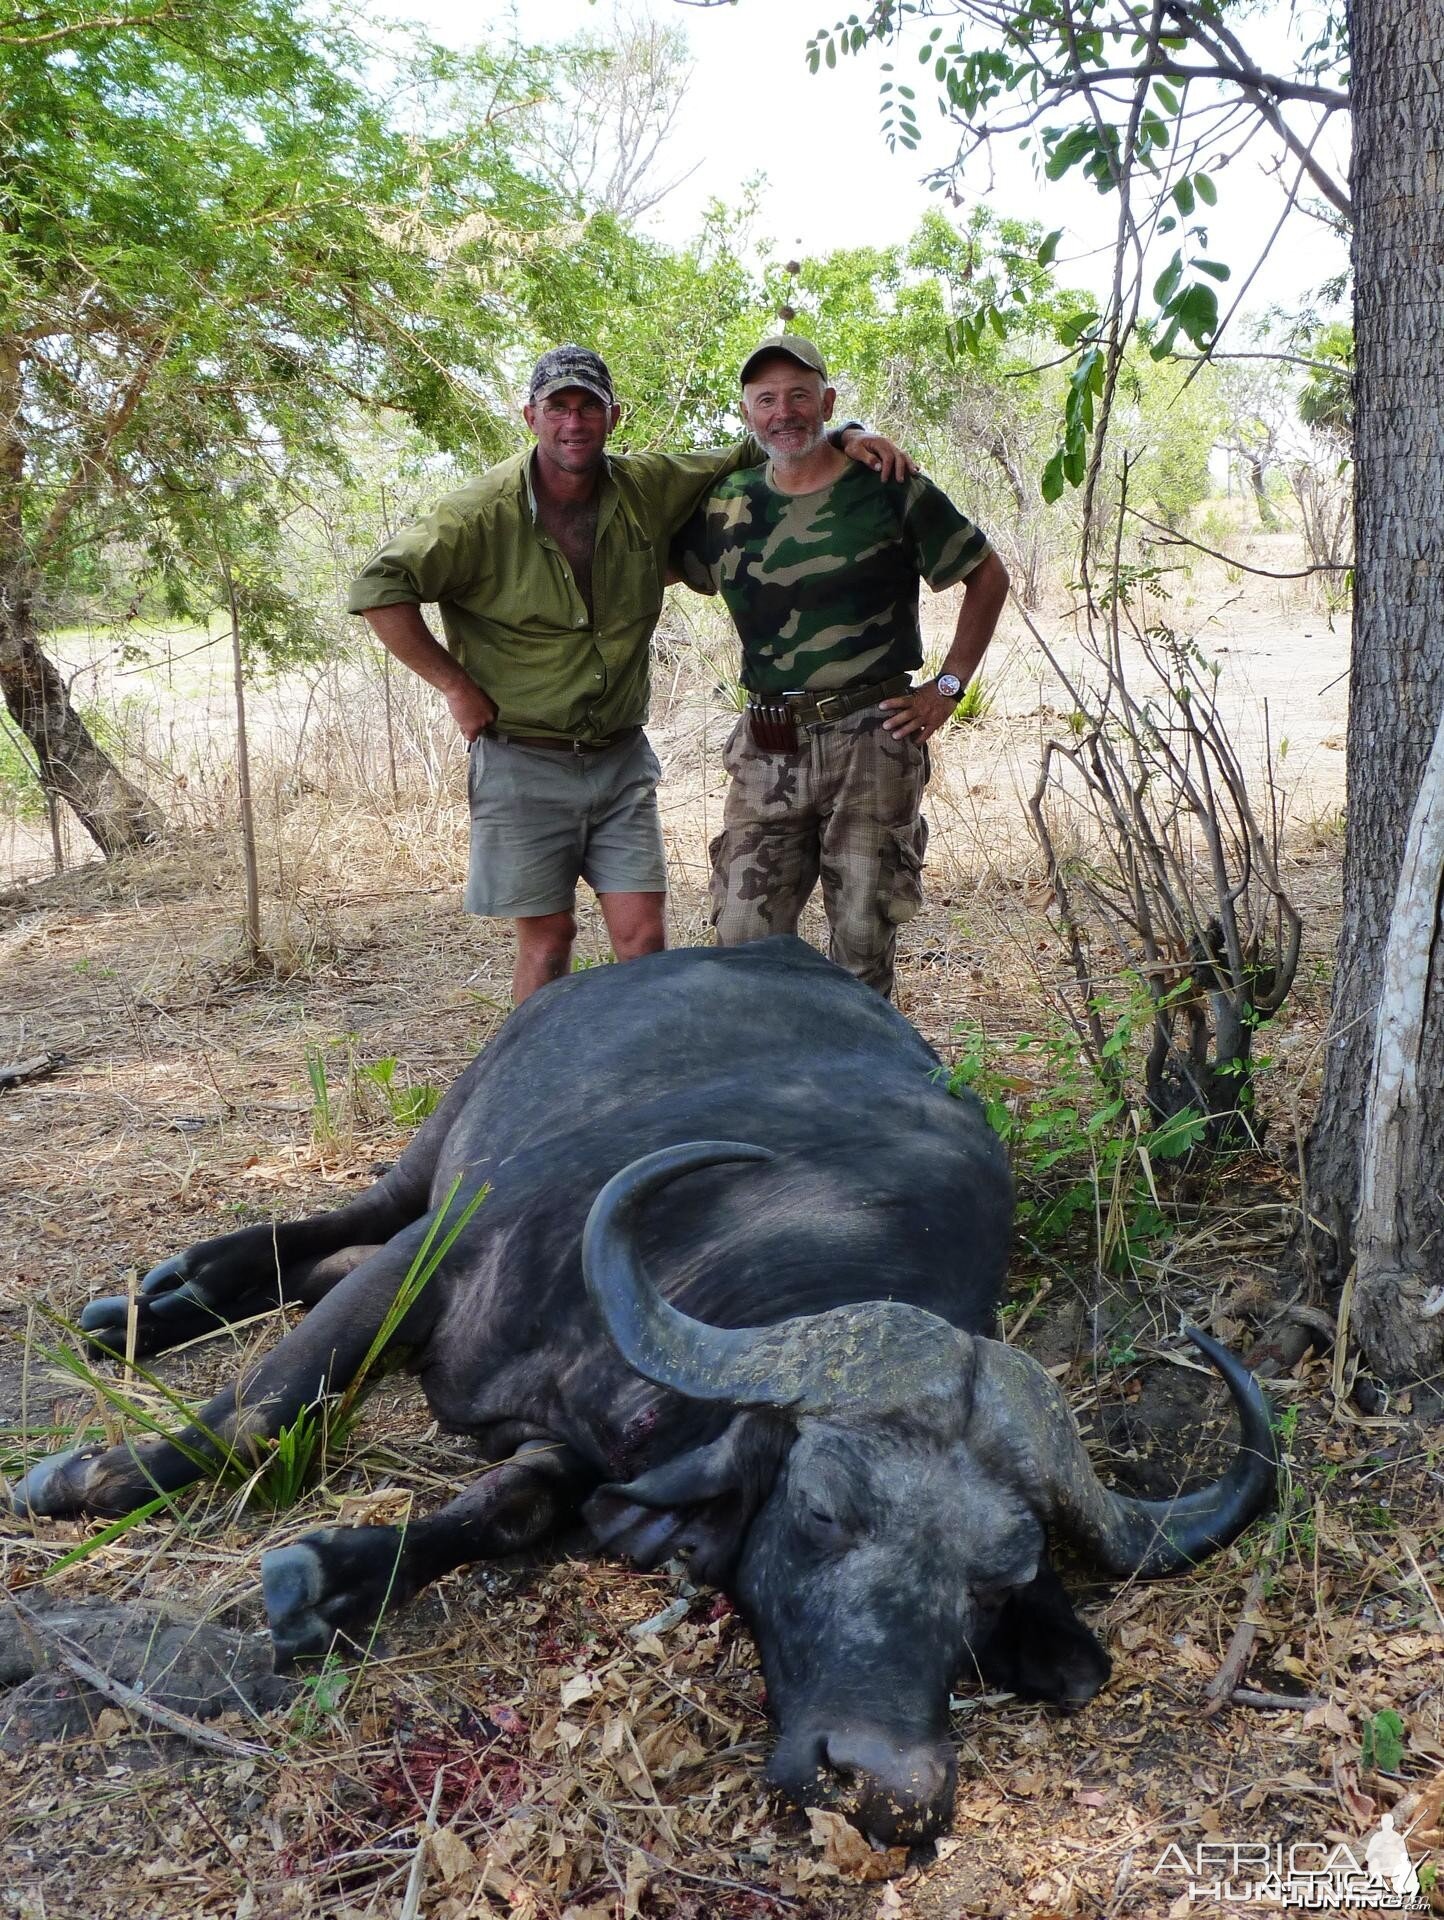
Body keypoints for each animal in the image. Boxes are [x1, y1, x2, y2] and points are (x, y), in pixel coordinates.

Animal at [11, 936, 1275, 1835]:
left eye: (993, 1586)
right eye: (822, 1510)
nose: (886, 1787)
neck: (757, 1225)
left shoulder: (586, 1440)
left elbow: (508, 1508)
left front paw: (335, 1575)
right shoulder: (434, 1257)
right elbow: (261, 1415)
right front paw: (86, 1479)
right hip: (444, 1134)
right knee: (338, 1219)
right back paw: (148, 1304)